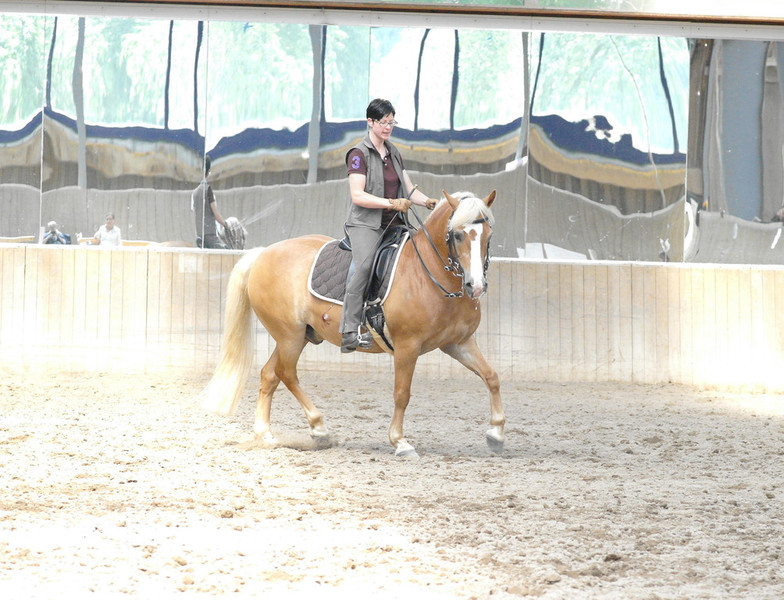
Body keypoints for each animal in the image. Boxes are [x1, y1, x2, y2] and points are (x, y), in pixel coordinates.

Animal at [200, 190, 505, 457]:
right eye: (458, 235)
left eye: (489, 235)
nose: (476, 286)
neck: (429, 275)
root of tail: (263, 253)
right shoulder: (407, 347)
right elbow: (402, 393)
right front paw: (400, 441)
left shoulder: (458, 343)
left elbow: (491, 377)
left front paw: (496, 433)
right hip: (289, 335)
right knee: (287, 374)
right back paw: (319, 427)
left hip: (298, 336)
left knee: (269, 375)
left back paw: (265, 434)